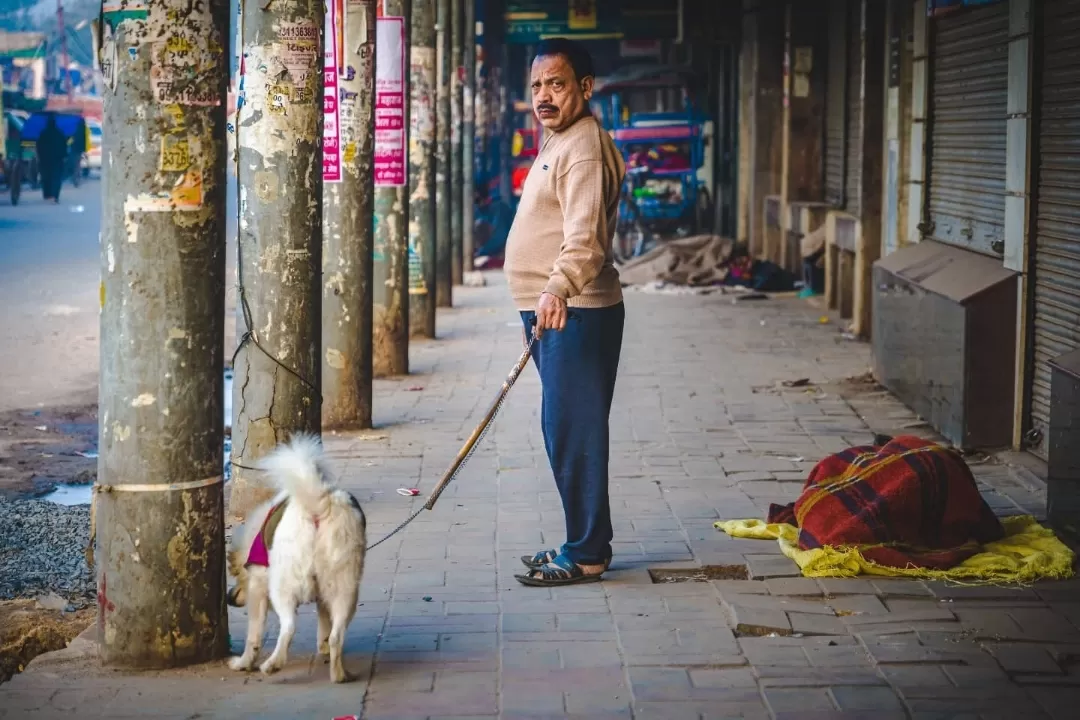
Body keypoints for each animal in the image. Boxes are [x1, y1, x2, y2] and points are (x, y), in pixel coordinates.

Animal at [224, 433, 367, 682]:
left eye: (236, 576)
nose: (229, 598)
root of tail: (319, 505)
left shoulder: (258, 587)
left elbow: (254, 635)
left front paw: (243, 663)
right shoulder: (322, 594)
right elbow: (324, 622)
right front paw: (323, 646)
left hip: (283, 585)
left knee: (289, 627)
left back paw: (273, 665)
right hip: (344, 585)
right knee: (337, 634)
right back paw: (339, 674)